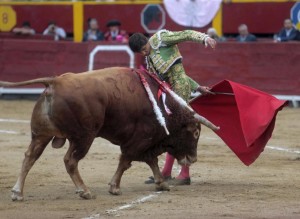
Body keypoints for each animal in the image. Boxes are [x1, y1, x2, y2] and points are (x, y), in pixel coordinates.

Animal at [0, 66, 218, 200]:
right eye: (195, 133)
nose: (193, 158)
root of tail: (55, 82)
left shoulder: (146, 142)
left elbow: (151, 161)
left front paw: (161, 184)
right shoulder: (139, 140)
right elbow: (126, 161)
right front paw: (114, 187)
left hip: (41, 135)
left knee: (30, 157)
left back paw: (17, 192)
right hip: (83, 137)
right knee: (70, 161)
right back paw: (85, 191)